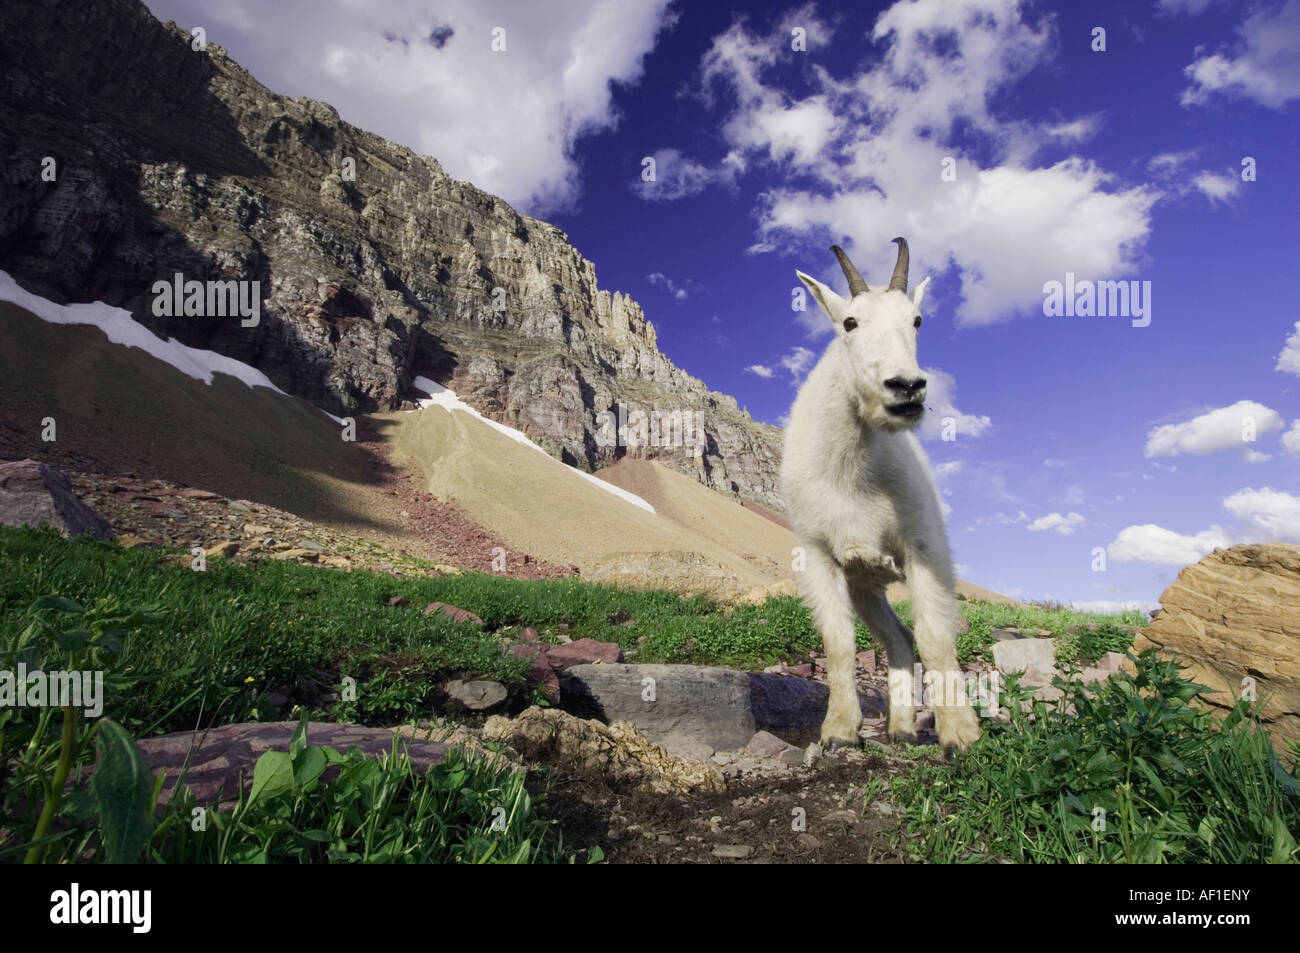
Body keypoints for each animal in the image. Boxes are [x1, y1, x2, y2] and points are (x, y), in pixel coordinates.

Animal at [780, 241, 977, 754]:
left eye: (917, 320)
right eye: (850, 322)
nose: (906, 387)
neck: (853, 476)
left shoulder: (925, 549)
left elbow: (937, 636)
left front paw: (961, 733)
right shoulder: (820, 556)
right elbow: (838, 642)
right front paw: (838, 730)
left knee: (909, 636)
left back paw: (907, 727)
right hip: (865, 585)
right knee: (897, 639)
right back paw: (900, 727)